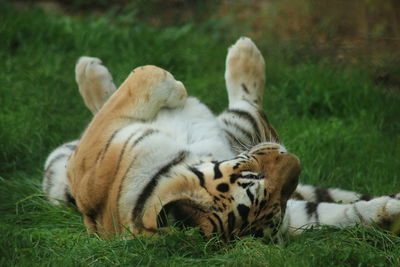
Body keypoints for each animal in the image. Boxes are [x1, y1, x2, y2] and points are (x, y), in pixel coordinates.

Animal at [43, 37, 400, 241]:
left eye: (282, 196)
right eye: (251, 175)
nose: (295, 161)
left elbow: (137, 83)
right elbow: (139, 83)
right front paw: (177, 88)